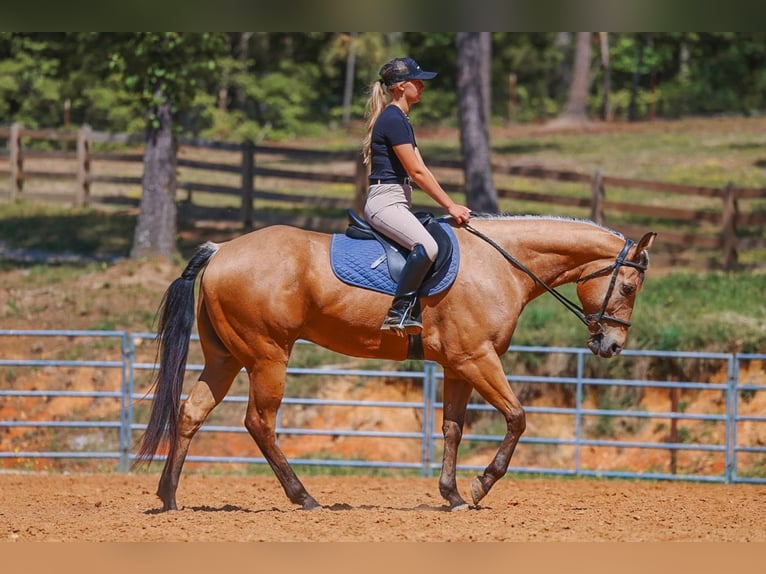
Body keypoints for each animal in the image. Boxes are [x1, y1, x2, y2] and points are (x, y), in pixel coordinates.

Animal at [135, 214, 656, 511]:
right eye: (629, 286)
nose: (611, 345)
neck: (500, 265)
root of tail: (222, 250)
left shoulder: (458, 365)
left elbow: (452, 428)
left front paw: (451, 495)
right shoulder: (478, 358)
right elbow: (517, 417)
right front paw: (481, 486)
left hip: (226, 358)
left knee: (191, 413)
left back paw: (169, 497)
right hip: (267, 356)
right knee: (259, 423)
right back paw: (305, 498)